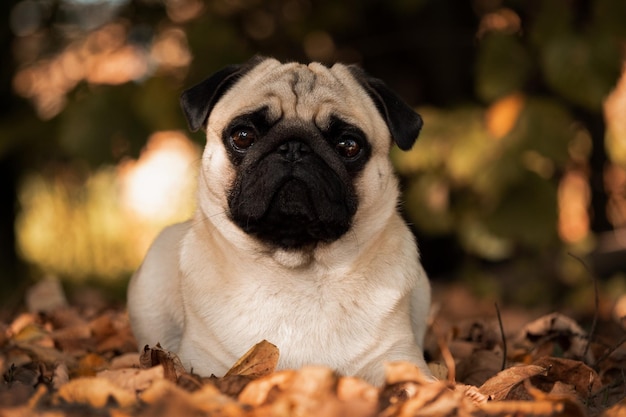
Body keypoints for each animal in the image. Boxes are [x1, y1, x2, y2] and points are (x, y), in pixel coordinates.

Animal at [127, 55, 428, 384]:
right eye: (243, 136)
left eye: (348, 145)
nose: (294, 146)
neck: (295, 271)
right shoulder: (204, 365)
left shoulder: (399, 358)